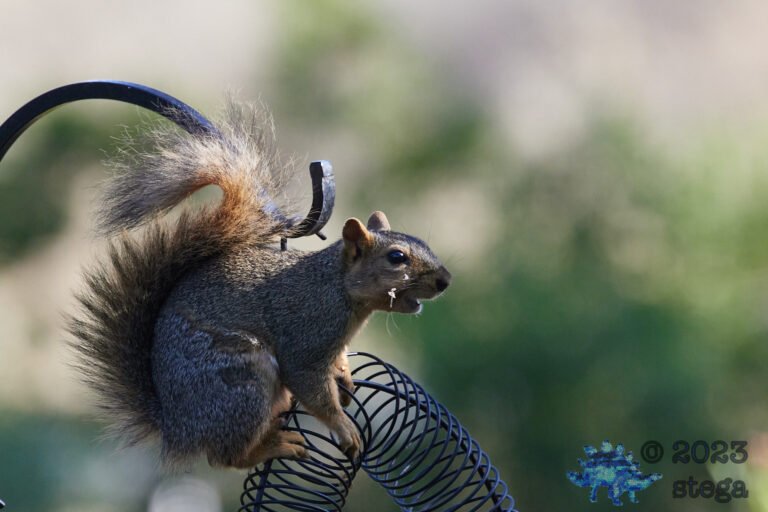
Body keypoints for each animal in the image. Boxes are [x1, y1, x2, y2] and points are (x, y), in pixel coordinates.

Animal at [68, 102, 452, 469]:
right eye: (397, 257)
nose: (445, 280)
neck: (338, 288)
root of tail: (178, 428)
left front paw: (342, 370)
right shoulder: (306, 335)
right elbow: (313, 390)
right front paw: (345, 428)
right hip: (243, 383)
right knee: (226, 457)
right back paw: (276, 446)